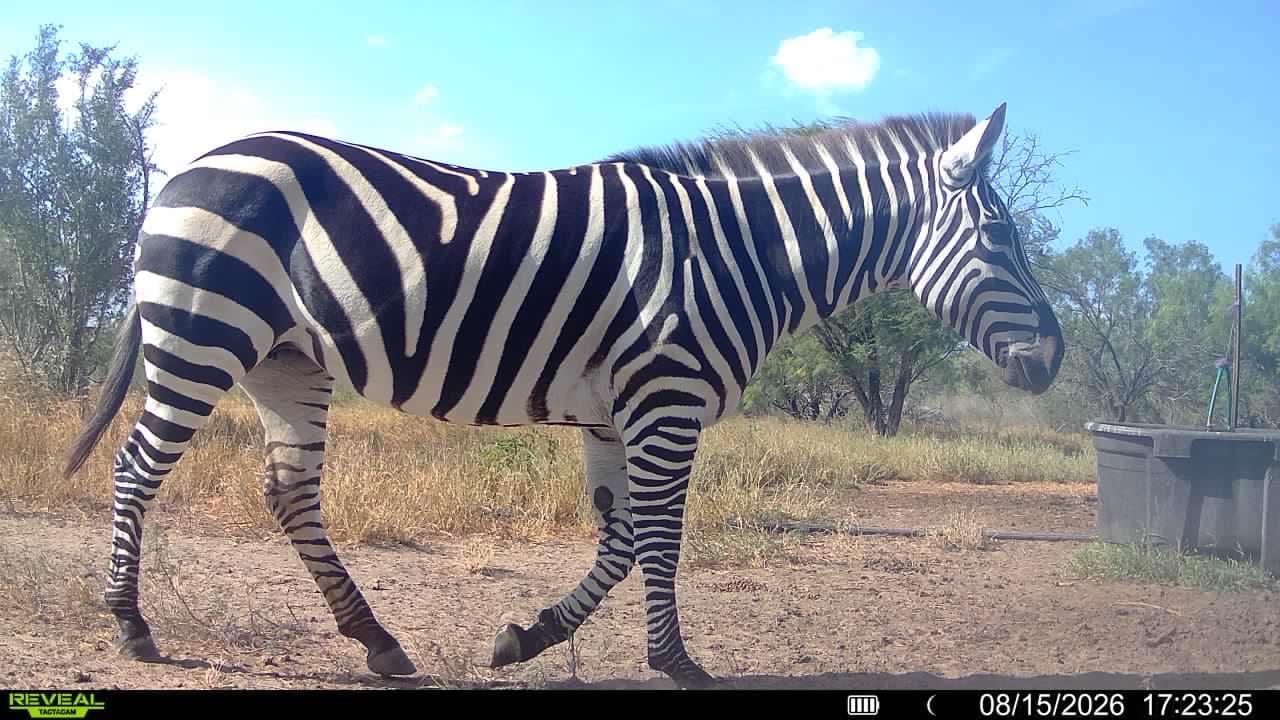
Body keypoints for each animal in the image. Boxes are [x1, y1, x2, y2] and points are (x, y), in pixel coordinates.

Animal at [62, 102, 1063, 688]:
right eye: (1001, 238)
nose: (1054, 361)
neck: (738, 252)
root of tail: (189, 165)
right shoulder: (667, 396)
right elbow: (659, 538)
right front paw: (677, 663)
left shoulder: (617, 410)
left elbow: (620, 541)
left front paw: (529, 637)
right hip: (205, 333)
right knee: (137, 466)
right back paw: (131, 625)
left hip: (285, 361)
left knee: (289, 491)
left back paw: (377, 640)